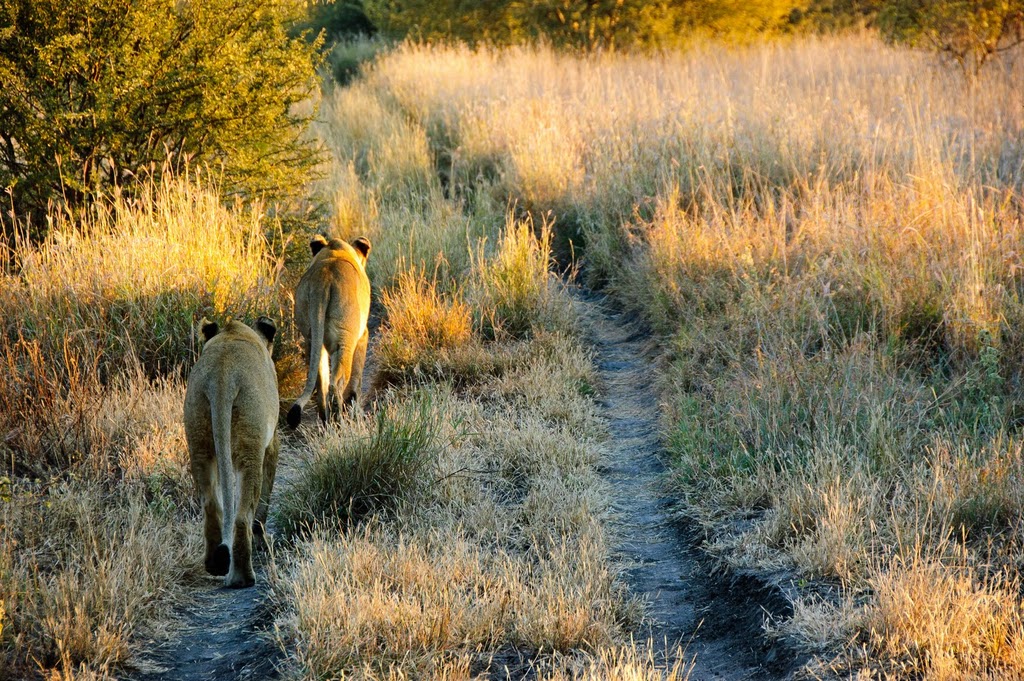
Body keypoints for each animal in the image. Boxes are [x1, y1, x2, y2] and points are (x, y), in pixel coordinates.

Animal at [184, 315, 280, 585]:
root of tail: (222, 375)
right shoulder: (271, 444)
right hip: (250, 446)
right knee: (242, 516)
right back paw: (242, 578)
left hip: (199, 438)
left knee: (211, 506)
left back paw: (214, 565)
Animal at [288, 233, 372, 426]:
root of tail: (323, 280)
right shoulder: (363, 336)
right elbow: (356, 379)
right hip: (344, 340)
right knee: (336, 383)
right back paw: (339, 421)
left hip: (312, 338)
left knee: (321, 384)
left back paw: (327, 422)